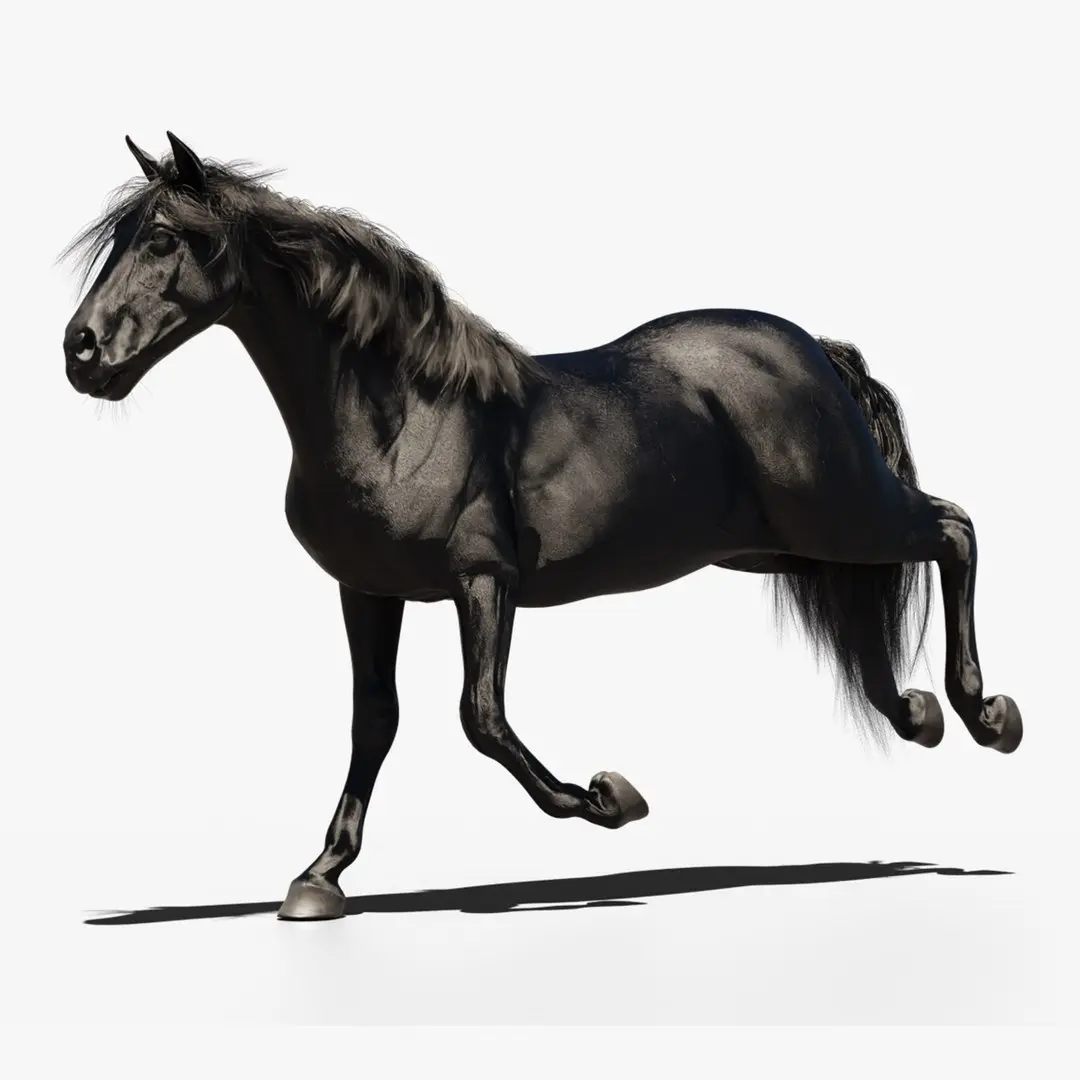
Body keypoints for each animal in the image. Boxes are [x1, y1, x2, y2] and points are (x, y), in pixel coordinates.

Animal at [61, 132, 1022, 921]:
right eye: (117, 239)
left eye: (162, 238)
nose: (81, 353)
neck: (403, 414)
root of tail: (815, 350)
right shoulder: (366, 590)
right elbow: (374, 721)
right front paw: (320, 877)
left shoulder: (486, 583)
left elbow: (480, 718)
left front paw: (609, 798)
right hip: (778, 548)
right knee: (880, 596)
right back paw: (918, 714)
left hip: (842, 513)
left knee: (954, 529)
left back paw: (984, 713)